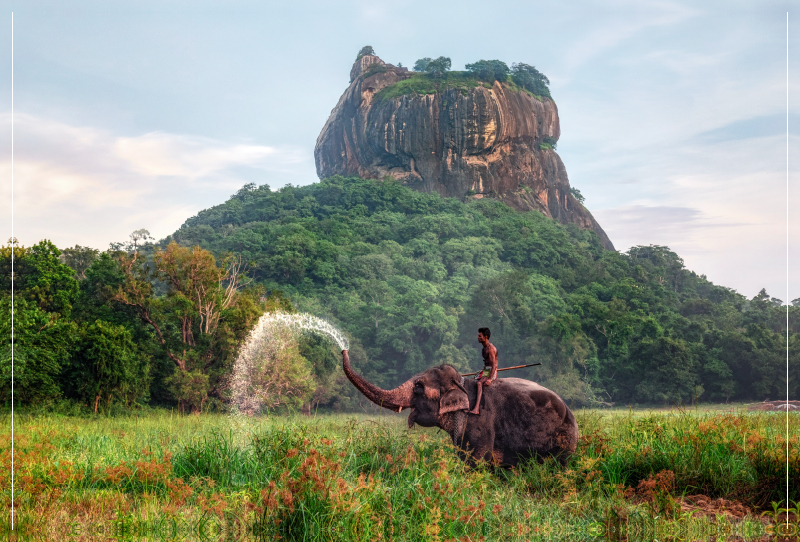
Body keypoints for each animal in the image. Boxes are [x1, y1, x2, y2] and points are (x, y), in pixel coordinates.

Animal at [340, 352, 580, 468]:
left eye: (418, 386)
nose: (344, 349)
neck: (463, 385)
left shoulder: (480, 422)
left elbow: (475, 461)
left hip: (564, 440)